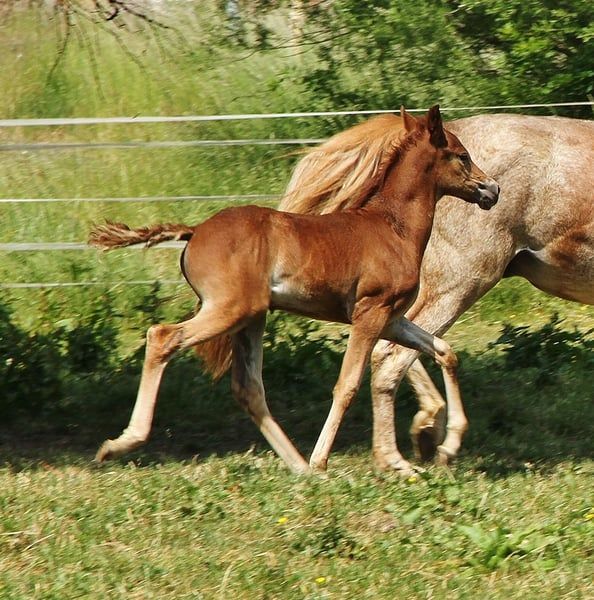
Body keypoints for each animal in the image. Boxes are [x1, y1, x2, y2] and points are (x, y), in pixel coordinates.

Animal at [89, 105, 499, 473]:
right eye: (463, 156)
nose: (492, 189)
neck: (391, 227)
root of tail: (194, 232)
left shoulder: (392, 317)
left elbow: (444, 351)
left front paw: (447, 443)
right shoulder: (371, 312)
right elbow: (347, 384)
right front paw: (324, 460)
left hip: (251, 318)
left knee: (249, 388)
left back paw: (298, 466)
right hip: (228, 309)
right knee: (163, 337)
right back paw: (121, 443)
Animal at [280, 112, 594, 474]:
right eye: (463, 158)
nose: (491, 190)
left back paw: (425, 432)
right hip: (459, 282)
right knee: (390, 356)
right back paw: (407, 453)